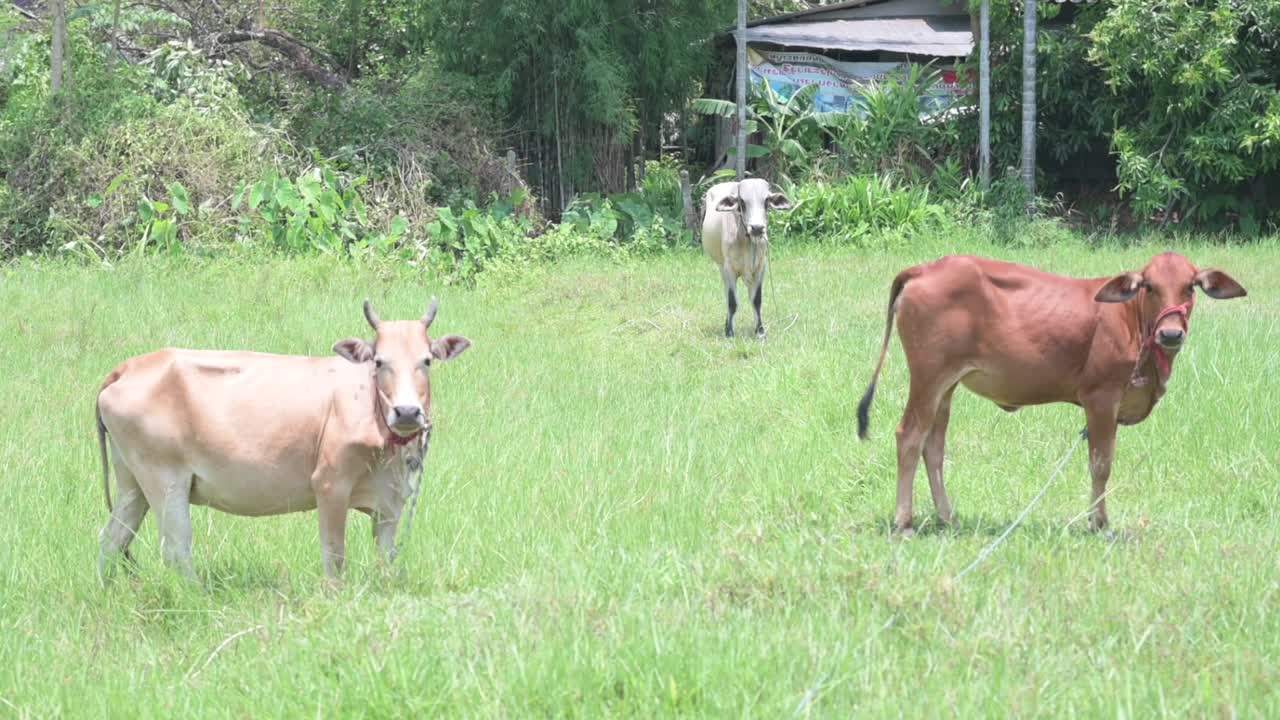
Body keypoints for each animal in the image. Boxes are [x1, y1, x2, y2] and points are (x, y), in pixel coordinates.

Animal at [94, 299, 473, 579]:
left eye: (427, 361)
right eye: (379, 362)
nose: (407, 412)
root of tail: (127, 367)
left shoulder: (389, 503)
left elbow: (386, 560)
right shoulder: (330, 485)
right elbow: (334, 557)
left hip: (133, 485)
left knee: (111, 540)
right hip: (166, 480)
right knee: (176, 549)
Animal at [701, 178, 788, 338]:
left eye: (766, 201)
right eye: (742, 201)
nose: (757, 228)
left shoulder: (761, 268)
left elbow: (756, 300)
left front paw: (760, 331)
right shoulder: (729, 269)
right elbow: (732, 301)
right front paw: (729, 332)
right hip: (721, 266)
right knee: (727, 294)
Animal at [855, 252, 1244, 532]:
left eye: (1190, 287)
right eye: (1149, 286)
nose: (1171, 334)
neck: (1131, 321)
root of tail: (923, 269)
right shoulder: (1101, 398)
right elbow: (1101, 464)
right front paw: (1099, 524)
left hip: (946, 386)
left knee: (933, 446)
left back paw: (947, 517)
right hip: (928, 376)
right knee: (909, 435)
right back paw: (904, 522)